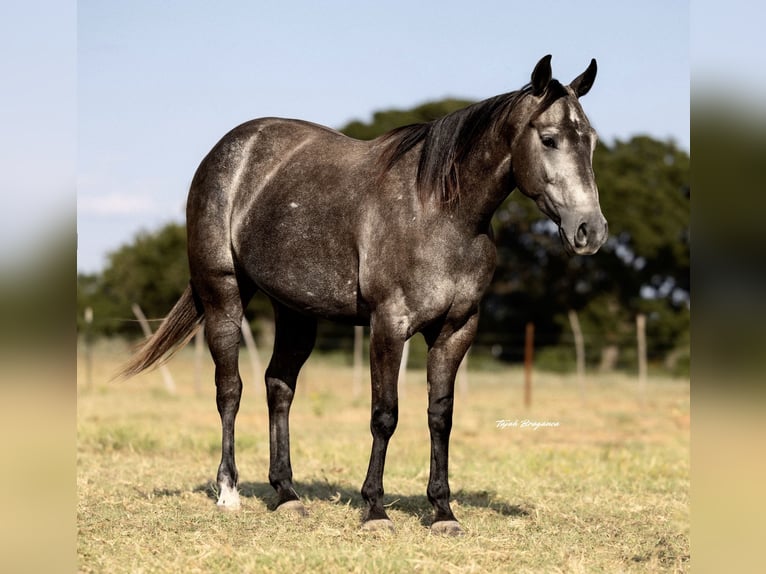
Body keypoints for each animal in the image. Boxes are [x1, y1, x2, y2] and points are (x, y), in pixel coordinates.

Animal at [120, 55, 607, 535]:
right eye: (549, 139)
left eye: (591, 142)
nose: (591, 230)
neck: (442, 214)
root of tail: (227, 151)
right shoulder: (388, 324)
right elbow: (384, 414)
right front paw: (375, 509)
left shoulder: (456, 330)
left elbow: (440, 416)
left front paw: (443, 511)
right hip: (223, 294)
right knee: (229, 390)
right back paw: (228, 493)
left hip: (295, 311)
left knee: (279, 387)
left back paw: (287, 495)